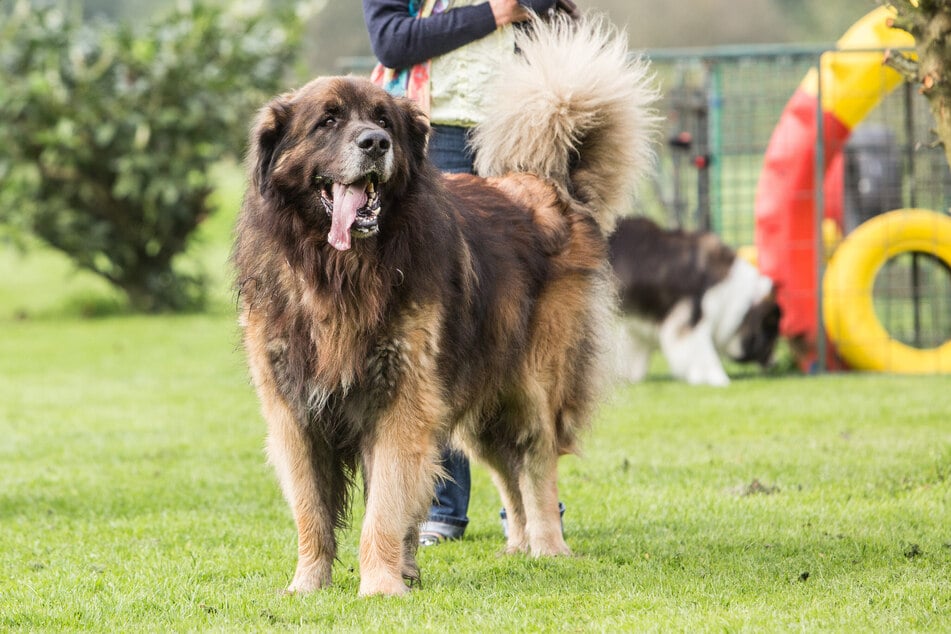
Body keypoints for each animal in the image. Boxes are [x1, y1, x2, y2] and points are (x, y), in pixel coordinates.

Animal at [234, 17, 660, 596]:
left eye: (383, 120)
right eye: (327, 121)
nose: (375, 143)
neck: (339, 270)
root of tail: (550, 186)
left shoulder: (400, 400)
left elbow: (384, 507)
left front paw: (381, 585)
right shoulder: (294, 411)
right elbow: (311, 511)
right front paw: (308, 584)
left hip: (532, 384)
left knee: (536, 463)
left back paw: (549, 548)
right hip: (482, 395)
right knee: (506, 469)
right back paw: (518, 546)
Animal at [608, 216, 780, 386]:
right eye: (771, 331)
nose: (774, 363)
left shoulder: (635, 323)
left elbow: (633, 354)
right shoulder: (691, 319)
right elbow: (704, 353)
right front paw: (717, 379)